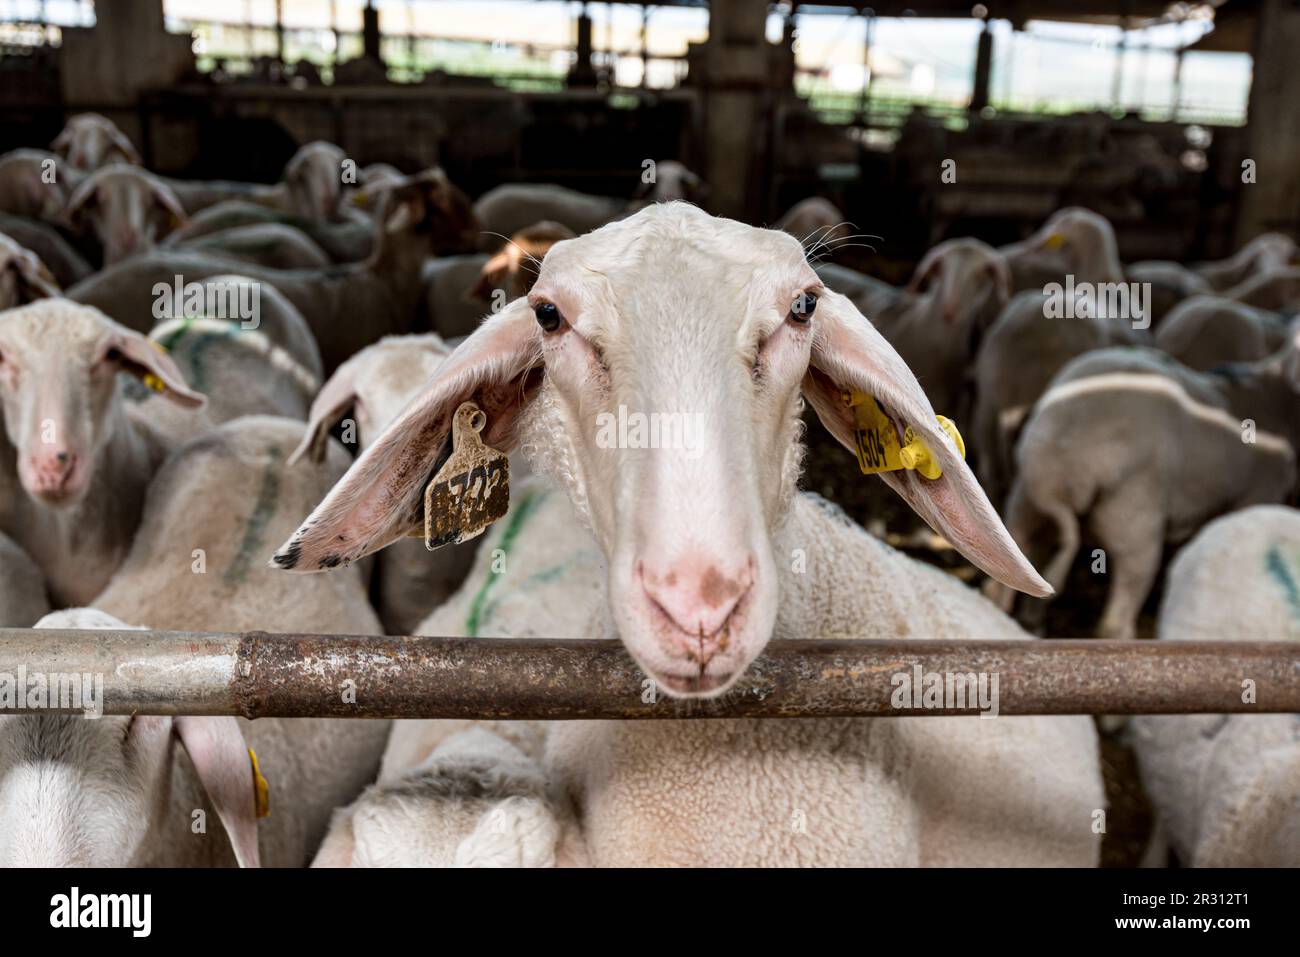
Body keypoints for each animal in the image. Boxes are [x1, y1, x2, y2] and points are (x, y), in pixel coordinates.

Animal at [995, 341, 1300, 641]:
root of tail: (1053, 465)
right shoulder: (1260, 491)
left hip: (1024, 502)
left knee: (1007, 573)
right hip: (1134, 517)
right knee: (1115, 618)